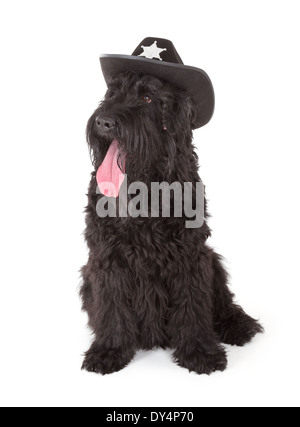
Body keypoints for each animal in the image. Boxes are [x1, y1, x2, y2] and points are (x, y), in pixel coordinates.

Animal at [80, 69, 262, 374]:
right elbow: (112, 304)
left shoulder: (190, 255)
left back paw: (238, 324)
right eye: (113, 93)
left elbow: (192, 303)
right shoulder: (106, 257)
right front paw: (110, 350)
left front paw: (200, 351)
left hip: (211, 260)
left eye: (147, 98)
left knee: (223, 300)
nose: (104, 122)